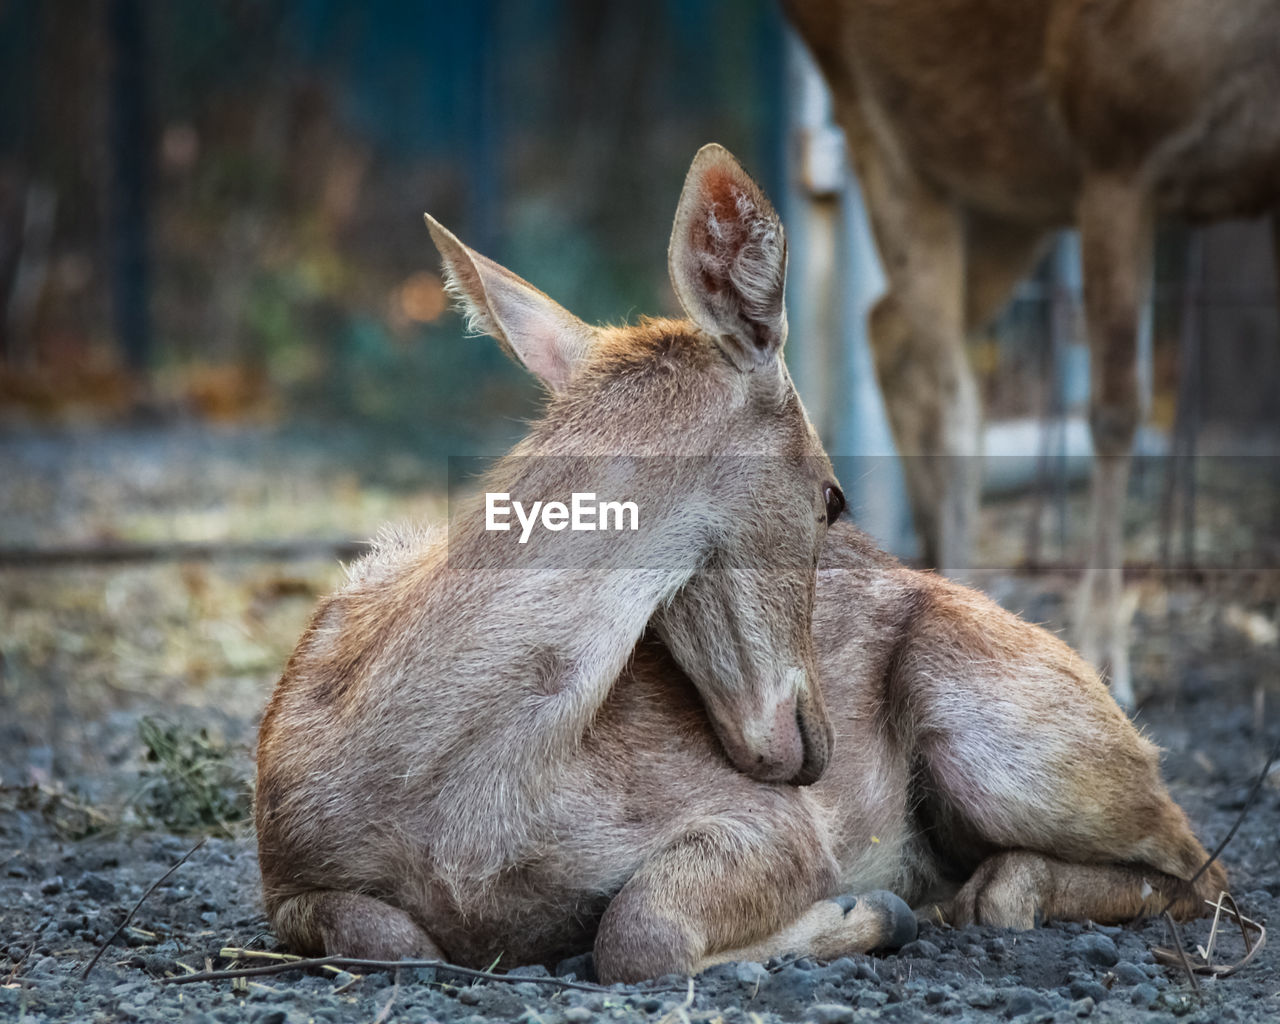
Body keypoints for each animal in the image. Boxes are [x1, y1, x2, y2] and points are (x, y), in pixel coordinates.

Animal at [257, 144, 1218, 983]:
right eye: (833, 496)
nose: (819, 746)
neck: (454, 808)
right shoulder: (287, 875)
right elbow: (388, 938)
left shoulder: (774, 823)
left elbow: (638, 929)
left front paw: (864, 912)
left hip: (1005, 734)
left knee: (1197, 865)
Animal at [783, 0, 1280, 706]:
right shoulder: (1114, 140)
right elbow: (1115, 410)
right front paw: (1106, 654)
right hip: (881, 120)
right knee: (948, 390)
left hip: (1008, 188)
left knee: (891, 328)